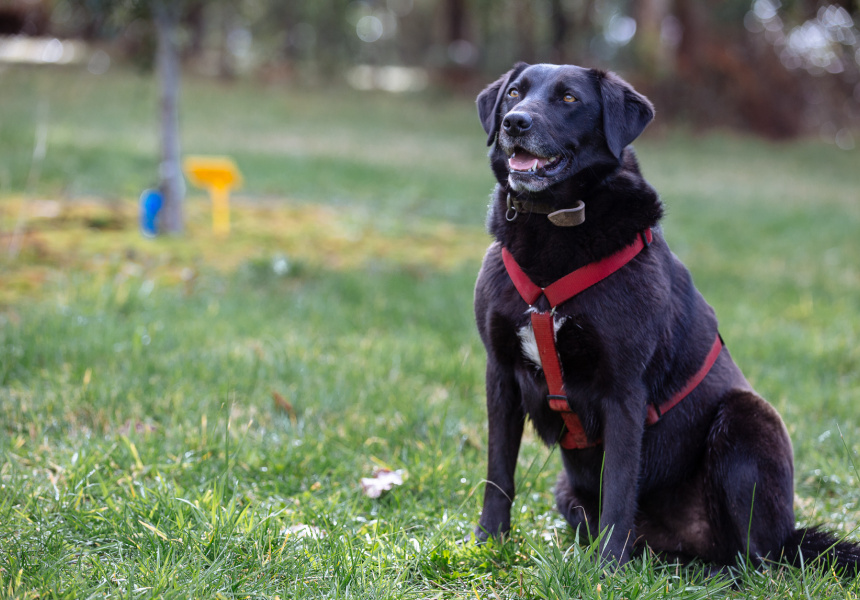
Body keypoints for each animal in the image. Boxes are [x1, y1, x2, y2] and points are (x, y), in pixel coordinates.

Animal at [474, 63, 856, 576]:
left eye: (569, 98)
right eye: (515, 92)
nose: (515, 123)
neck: (553, 222)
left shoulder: (623, 391)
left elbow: (618, 487)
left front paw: (606, 573)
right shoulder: (500, 374)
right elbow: (498, 472)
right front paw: (488, 542)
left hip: (747, 419)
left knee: (756, 560)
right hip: (567, 493)